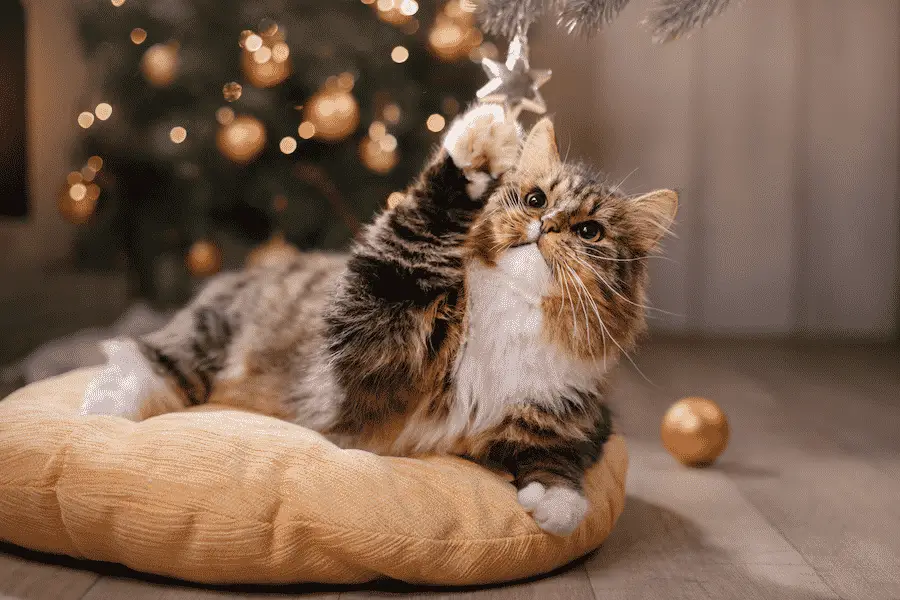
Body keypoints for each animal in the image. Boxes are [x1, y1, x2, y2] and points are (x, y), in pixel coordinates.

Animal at [82, 105, 676, 536]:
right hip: (209, 336)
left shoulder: (574, 419)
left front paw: (556, 508)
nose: (546, 225)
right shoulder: (371, 331)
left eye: (589, 232)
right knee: (153, 359)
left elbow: (561, 464)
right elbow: (415, 228)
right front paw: (481, 145)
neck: (512, 318)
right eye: (534, 199)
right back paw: (105, 408)